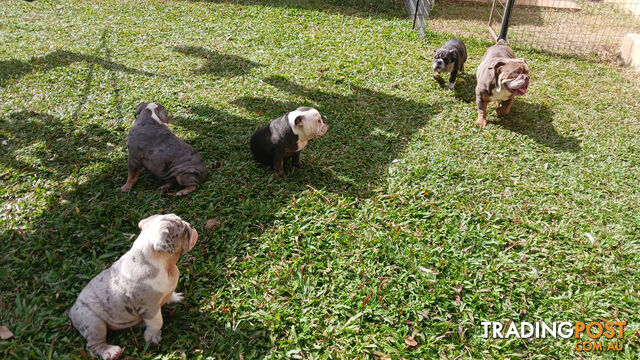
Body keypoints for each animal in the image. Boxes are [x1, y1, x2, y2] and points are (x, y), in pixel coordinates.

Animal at [67, 215, 198, 358]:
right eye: (183, 231)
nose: (191, 226)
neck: (166, 266)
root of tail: (72, 310)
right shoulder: (149, 308)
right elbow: (157, 322)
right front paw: (152, 337)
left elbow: (169, 295)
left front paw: (175, 297)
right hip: (93, 321)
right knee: (93, 344)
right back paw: (110, 351)